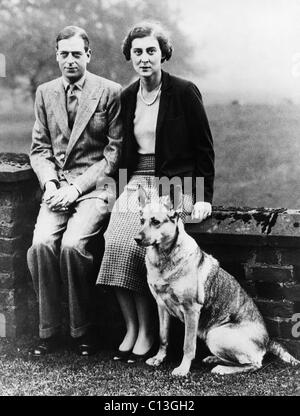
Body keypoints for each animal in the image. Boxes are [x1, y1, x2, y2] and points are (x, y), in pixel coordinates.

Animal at [135, 192, 298, 376]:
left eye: (156, 222)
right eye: (141, 220)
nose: (136, 239)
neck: (164, 257)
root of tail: (267, 341)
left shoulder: (191, 310)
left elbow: (188, 346)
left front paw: (183, 368)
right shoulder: (161, 306)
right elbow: (163, 337)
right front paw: (159, 358)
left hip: (214, 334)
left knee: (254, 364)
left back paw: (221, 368)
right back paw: (213, 359)